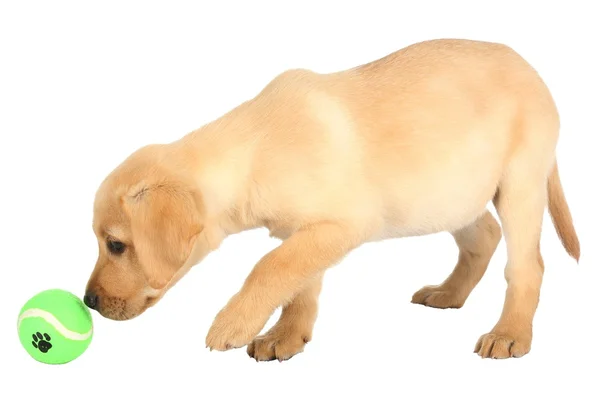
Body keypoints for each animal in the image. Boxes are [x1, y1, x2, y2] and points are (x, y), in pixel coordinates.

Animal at [84, 39, 576, 360]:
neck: (253, 148)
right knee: (484, 236)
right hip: (450, 192)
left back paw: (510, 334)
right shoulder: (311, 231)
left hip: (519, 186)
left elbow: (270, 267)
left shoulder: (343, 223)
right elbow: (299, 282)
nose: (87, 301)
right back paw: (448, 293)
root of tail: (535, 73)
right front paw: (287, 335)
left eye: (115, 245)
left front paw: (233, 323)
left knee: (527, 266)